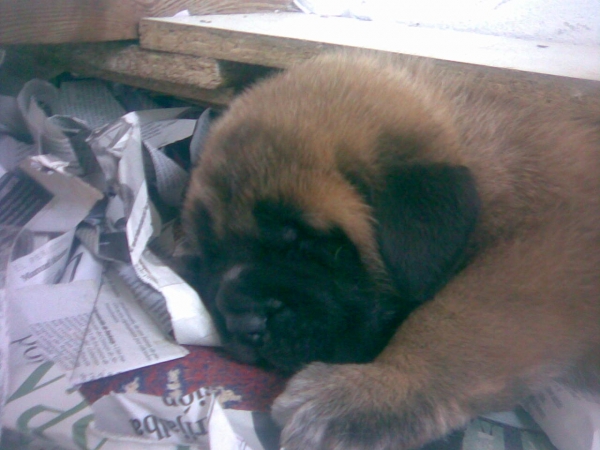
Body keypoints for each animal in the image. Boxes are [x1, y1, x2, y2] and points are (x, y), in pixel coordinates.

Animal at [183, 53, 600, 450]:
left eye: (304, 242)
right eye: (209, 257)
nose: (241, 321)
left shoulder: (549, 249)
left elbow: (454, 323)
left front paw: (373, 391)